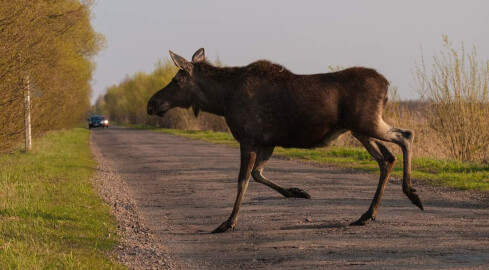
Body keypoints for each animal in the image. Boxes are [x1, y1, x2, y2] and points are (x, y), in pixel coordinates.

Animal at [146, 49, 424, 234]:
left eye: (176, 80)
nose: (152, 103)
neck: (221, 102)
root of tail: (386, 85)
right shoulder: (267, 141)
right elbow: (257, 174)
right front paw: (298, 192)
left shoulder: (248, 138)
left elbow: (243, 180)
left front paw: (228, 222)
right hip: (359, 129)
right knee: (387, 157)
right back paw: (368, 214)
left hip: (366, 123)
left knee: (406, 136)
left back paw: (411, 193)